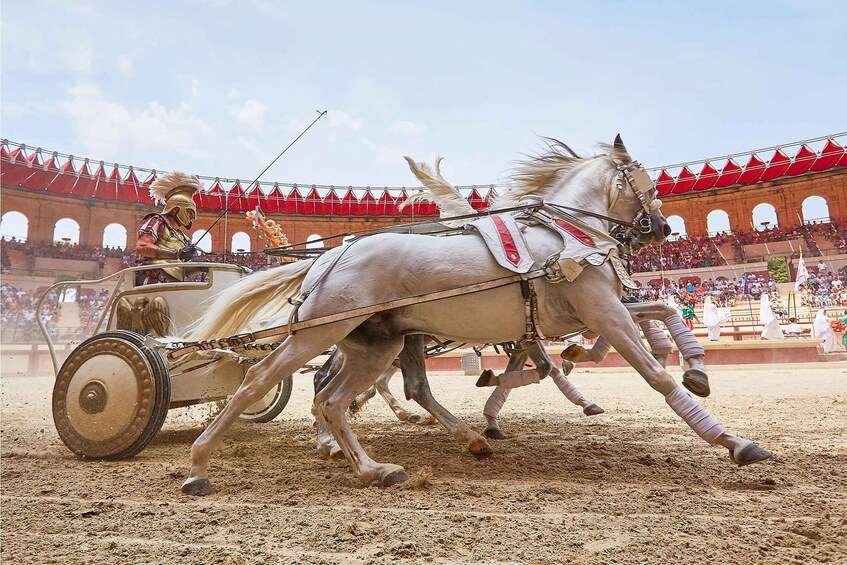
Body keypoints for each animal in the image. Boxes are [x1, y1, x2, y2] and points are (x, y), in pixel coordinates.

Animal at [182, 137, 772, 494]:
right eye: (644, 177)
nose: (662, 228)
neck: (566, 236)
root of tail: (328, 257)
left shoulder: (585, 315)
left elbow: (660, 310)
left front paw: (695, 367)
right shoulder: (602, 311)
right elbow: (651, 373)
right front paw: (732, 441)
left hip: (375, 344)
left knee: (335, 398)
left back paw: (377, 466)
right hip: (321, 334)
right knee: (262, 380)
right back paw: (200, 464)